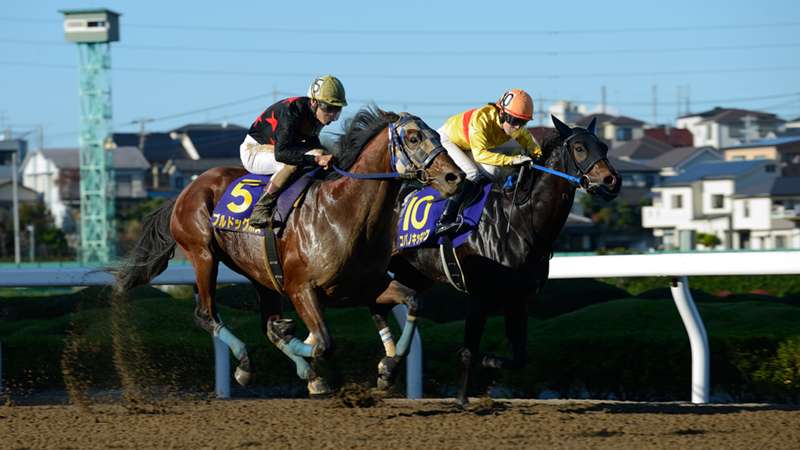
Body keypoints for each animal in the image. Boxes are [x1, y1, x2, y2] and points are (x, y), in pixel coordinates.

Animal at [111, 108, 465, 396]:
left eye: (436, 134)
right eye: (414, 137)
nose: (455, 177)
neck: (343, 212)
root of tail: (186, 190)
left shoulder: (367, 287)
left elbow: (412, 301)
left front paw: (387, 369)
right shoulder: (301, 288)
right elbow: (323, 342)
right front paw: (299, 341)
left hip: (261, 275)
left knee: (265, 323)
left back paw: (302, 371)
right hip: (203, 255)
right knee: (206, 314)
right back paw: (248, 365)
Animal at [369, 115, 622, 404]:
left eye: (604, 146)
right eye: (580, 148)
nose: (612, 180)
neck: (520, 221)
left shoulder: (519, 298)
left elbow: (520, 356)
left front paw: (490, 362)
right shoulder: (480, 296)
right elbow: (468, 351)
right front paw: (461, 400)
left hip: (414, 274)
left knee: (380, 304)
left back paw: (388, 366)